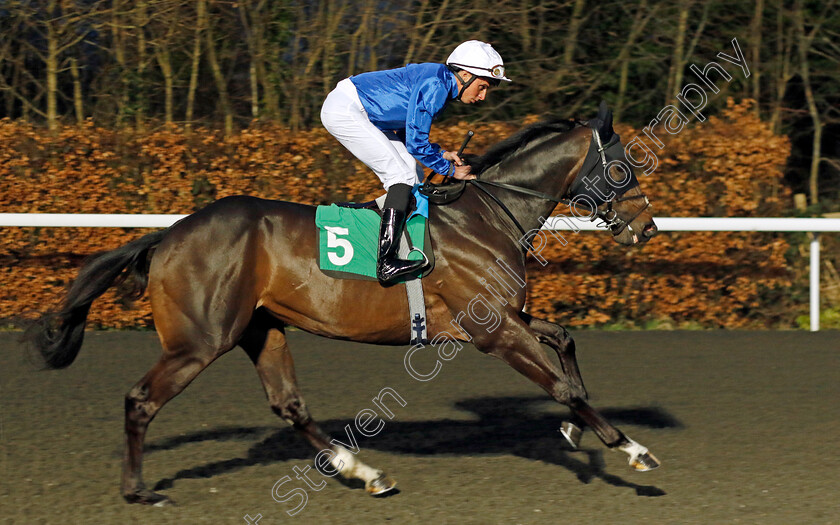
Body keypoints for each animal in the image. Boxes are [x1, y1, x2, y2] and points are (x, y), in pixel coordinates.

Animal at [23, 105, 660, 504]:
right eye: (622, 163)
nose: (647, 227)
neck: (485, 214)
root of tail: (170, 233)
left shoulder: (504, 317)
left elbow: (564, 340)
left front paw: (577, 432)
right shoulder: (494, 332)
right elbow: (562, 385)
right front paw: (630, 448)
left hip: (261, 328)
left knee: (289, 404)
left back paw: (365, 470)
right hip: (200, 340)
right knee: (140, 400)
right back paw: (138, 490)